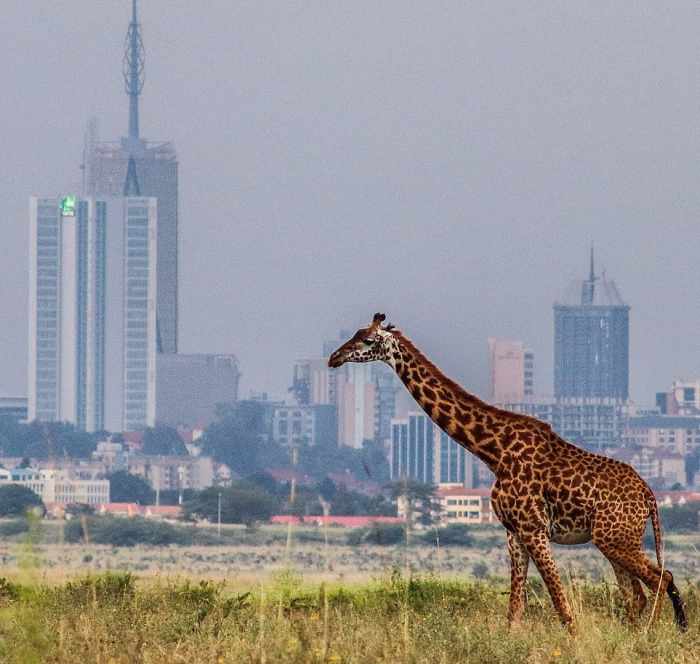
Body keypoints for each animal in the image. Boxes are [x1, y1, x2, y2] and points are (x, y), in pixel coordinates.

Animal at [328, 313, 687, 632]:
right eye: (355, 333)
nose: (334, 357)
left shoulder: (534, 529)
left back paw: (650, 635)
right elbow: (515, 610)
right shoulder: (513, 532)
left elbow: (561, 605)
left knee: (660, 580)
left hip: (616, 538)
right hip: (613, 540)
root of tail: (649, 496)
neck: (493, 452)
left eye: (368, 340)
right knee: (637, 594)